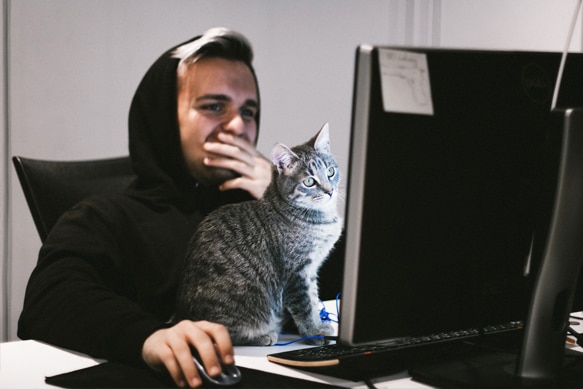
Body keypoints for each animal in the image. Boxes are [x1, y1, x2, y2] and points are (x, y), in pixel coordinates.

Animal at [176, 123, 344, 344]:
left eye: (331, 171)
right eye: (309, 181)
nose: (329, 190)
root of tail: (183, 316)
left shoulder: (311, 269)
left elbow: (314, 299)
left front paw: (319, 324)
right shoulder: (297, 272)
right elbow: (306, 306)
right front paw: (314, 332)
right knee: (223, 333)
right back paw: (263, 336)